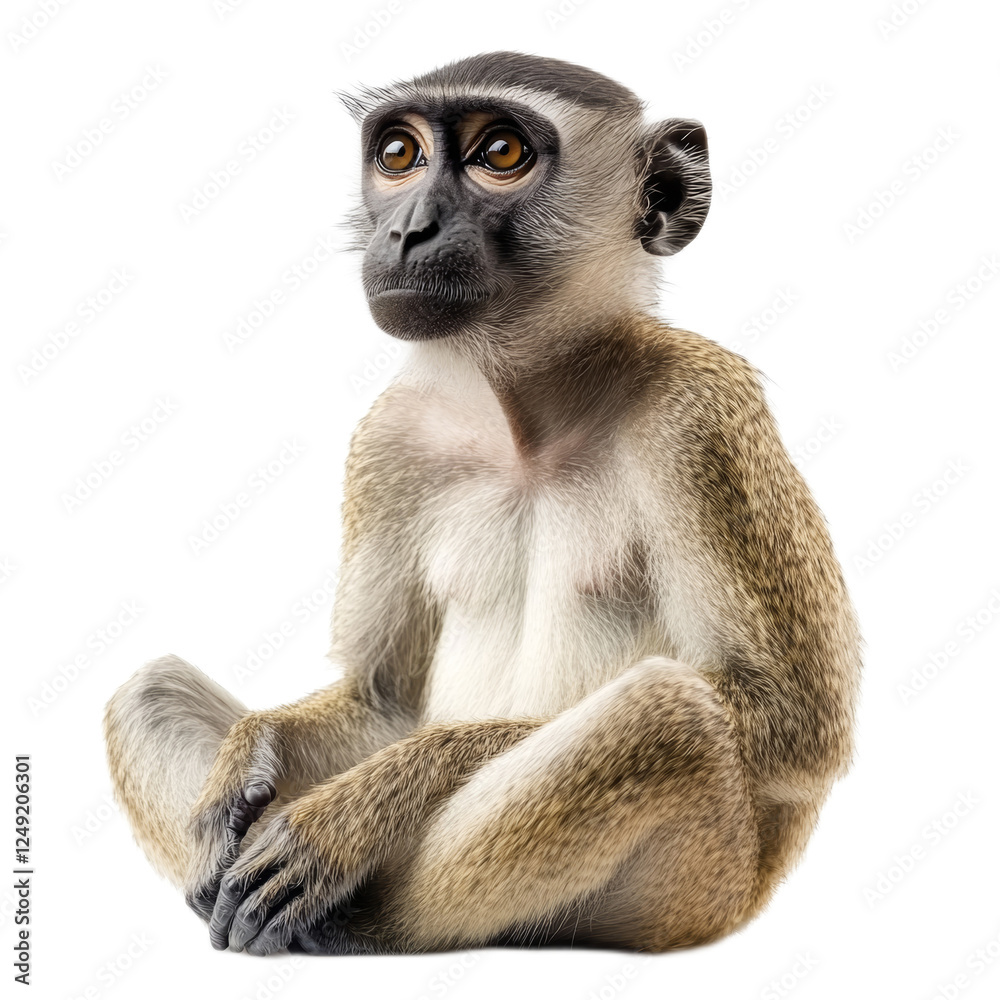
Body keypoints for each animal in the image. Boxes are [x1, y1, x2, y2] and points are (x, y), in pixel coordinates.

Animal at [104, 51, 861, 956]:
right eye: (399, 154)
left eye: (500, 153)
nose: (408, 230)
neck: (527, 423)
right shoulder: (388, 442)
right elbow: (381, 700)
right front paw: (256, 747)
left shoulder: (700, 415)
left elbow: (796, 725)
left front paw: (361, 810)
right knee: (146, 693)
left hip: (689, 895)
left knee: (668, 714)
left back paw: (366, 921)